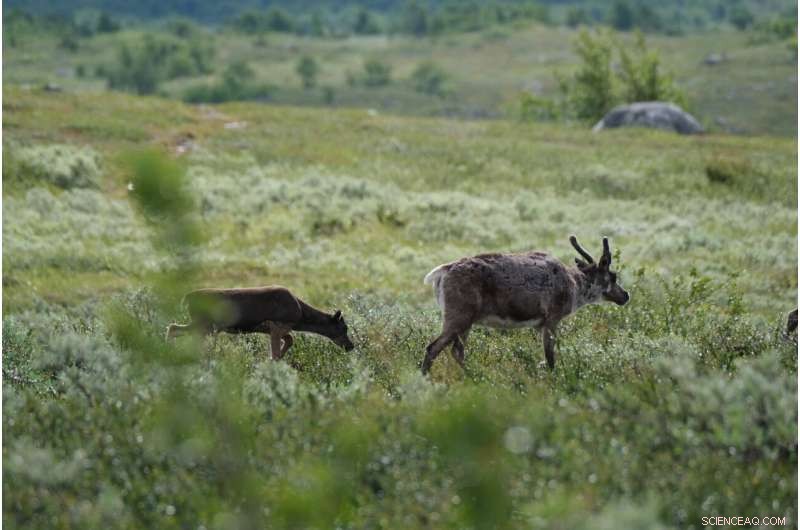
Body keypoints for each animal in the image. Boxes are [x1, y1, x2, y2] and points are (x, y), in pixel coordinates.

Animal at [165, 286, 355, 359]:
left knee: (174, 328)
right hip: (205, 324)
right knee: (175, 329)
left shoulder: (273, 328)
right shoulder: (278, 324)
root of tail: (187, 298)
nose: (351, 346)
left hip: (204, 326)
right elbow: (280, 349)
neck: (300, 315)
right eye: (343, 328)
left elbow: (289, 340)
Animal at [421, 235, 629, 374]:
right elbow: (550, 356)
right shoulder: (552, 319)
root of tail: (442, 272)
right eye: (613, 276)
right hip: (458, 316)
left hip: (466, 322)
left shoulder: (540, 325)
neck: (574, 285)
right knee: (433, 348)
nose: (625, 295)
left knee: (457, 351)